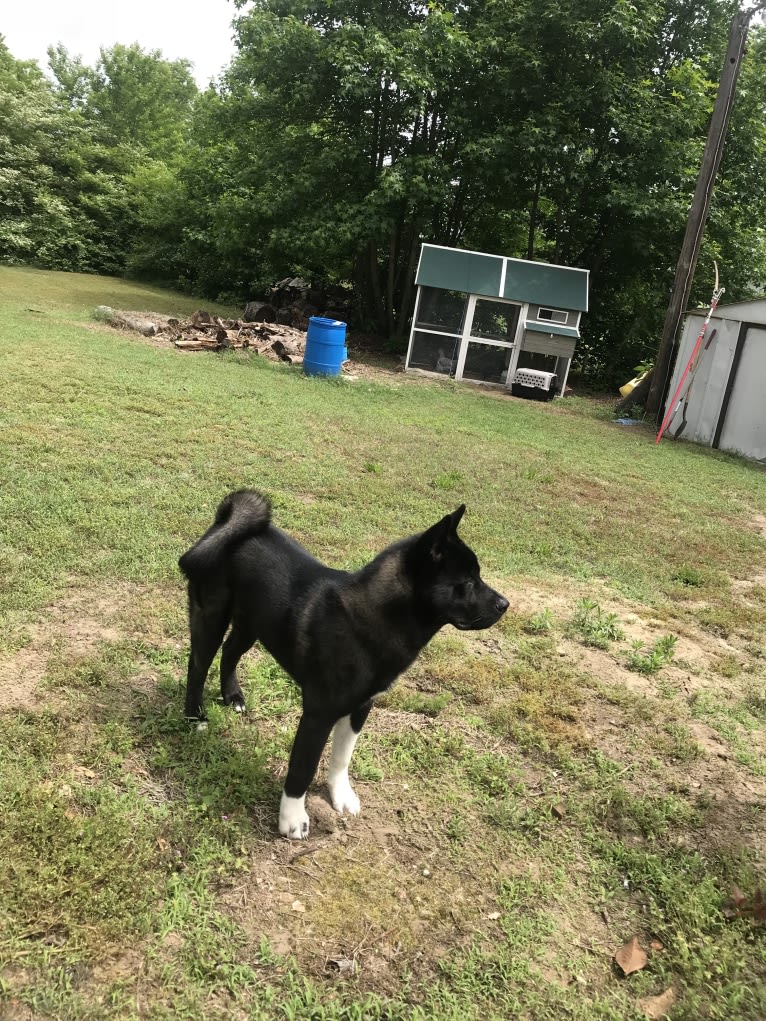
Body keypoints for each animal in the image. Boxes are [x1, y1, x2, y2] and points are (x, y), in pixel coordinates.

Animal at [179, 492, 510, 837]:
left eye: (477, 576)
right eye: (467, 581)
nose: (505, 604)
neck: (374, 618)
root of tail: (225, 524)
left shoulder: (360, 707)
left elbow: (342, 757)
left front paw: (340, 795)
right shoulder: (318, 714)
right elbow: (302, 768)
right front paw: (292, 819)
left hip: (253, 623)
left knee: (230, 652)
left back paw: (233, 697)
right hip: (211, 616)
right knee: (198, 665)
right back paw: (195, 717)